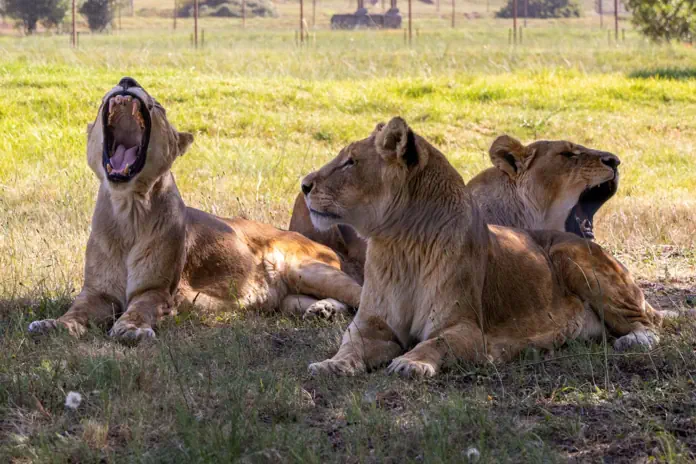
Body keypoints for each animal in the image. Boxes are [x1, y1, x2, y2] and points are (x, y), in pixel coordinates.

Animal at [28, 77, 362, 342]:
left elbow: (137, 311)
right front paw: (52, 325)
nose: (126, 80)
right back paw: (323, 310)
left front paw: (130, 329)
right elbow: (75, 311)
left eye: (158, 106)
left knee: (361, 293)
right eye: (100, 104)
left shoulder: (156, 290)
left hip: (309, 270)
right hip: (289, 299)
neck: (126, 210)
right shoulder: (96, 292)